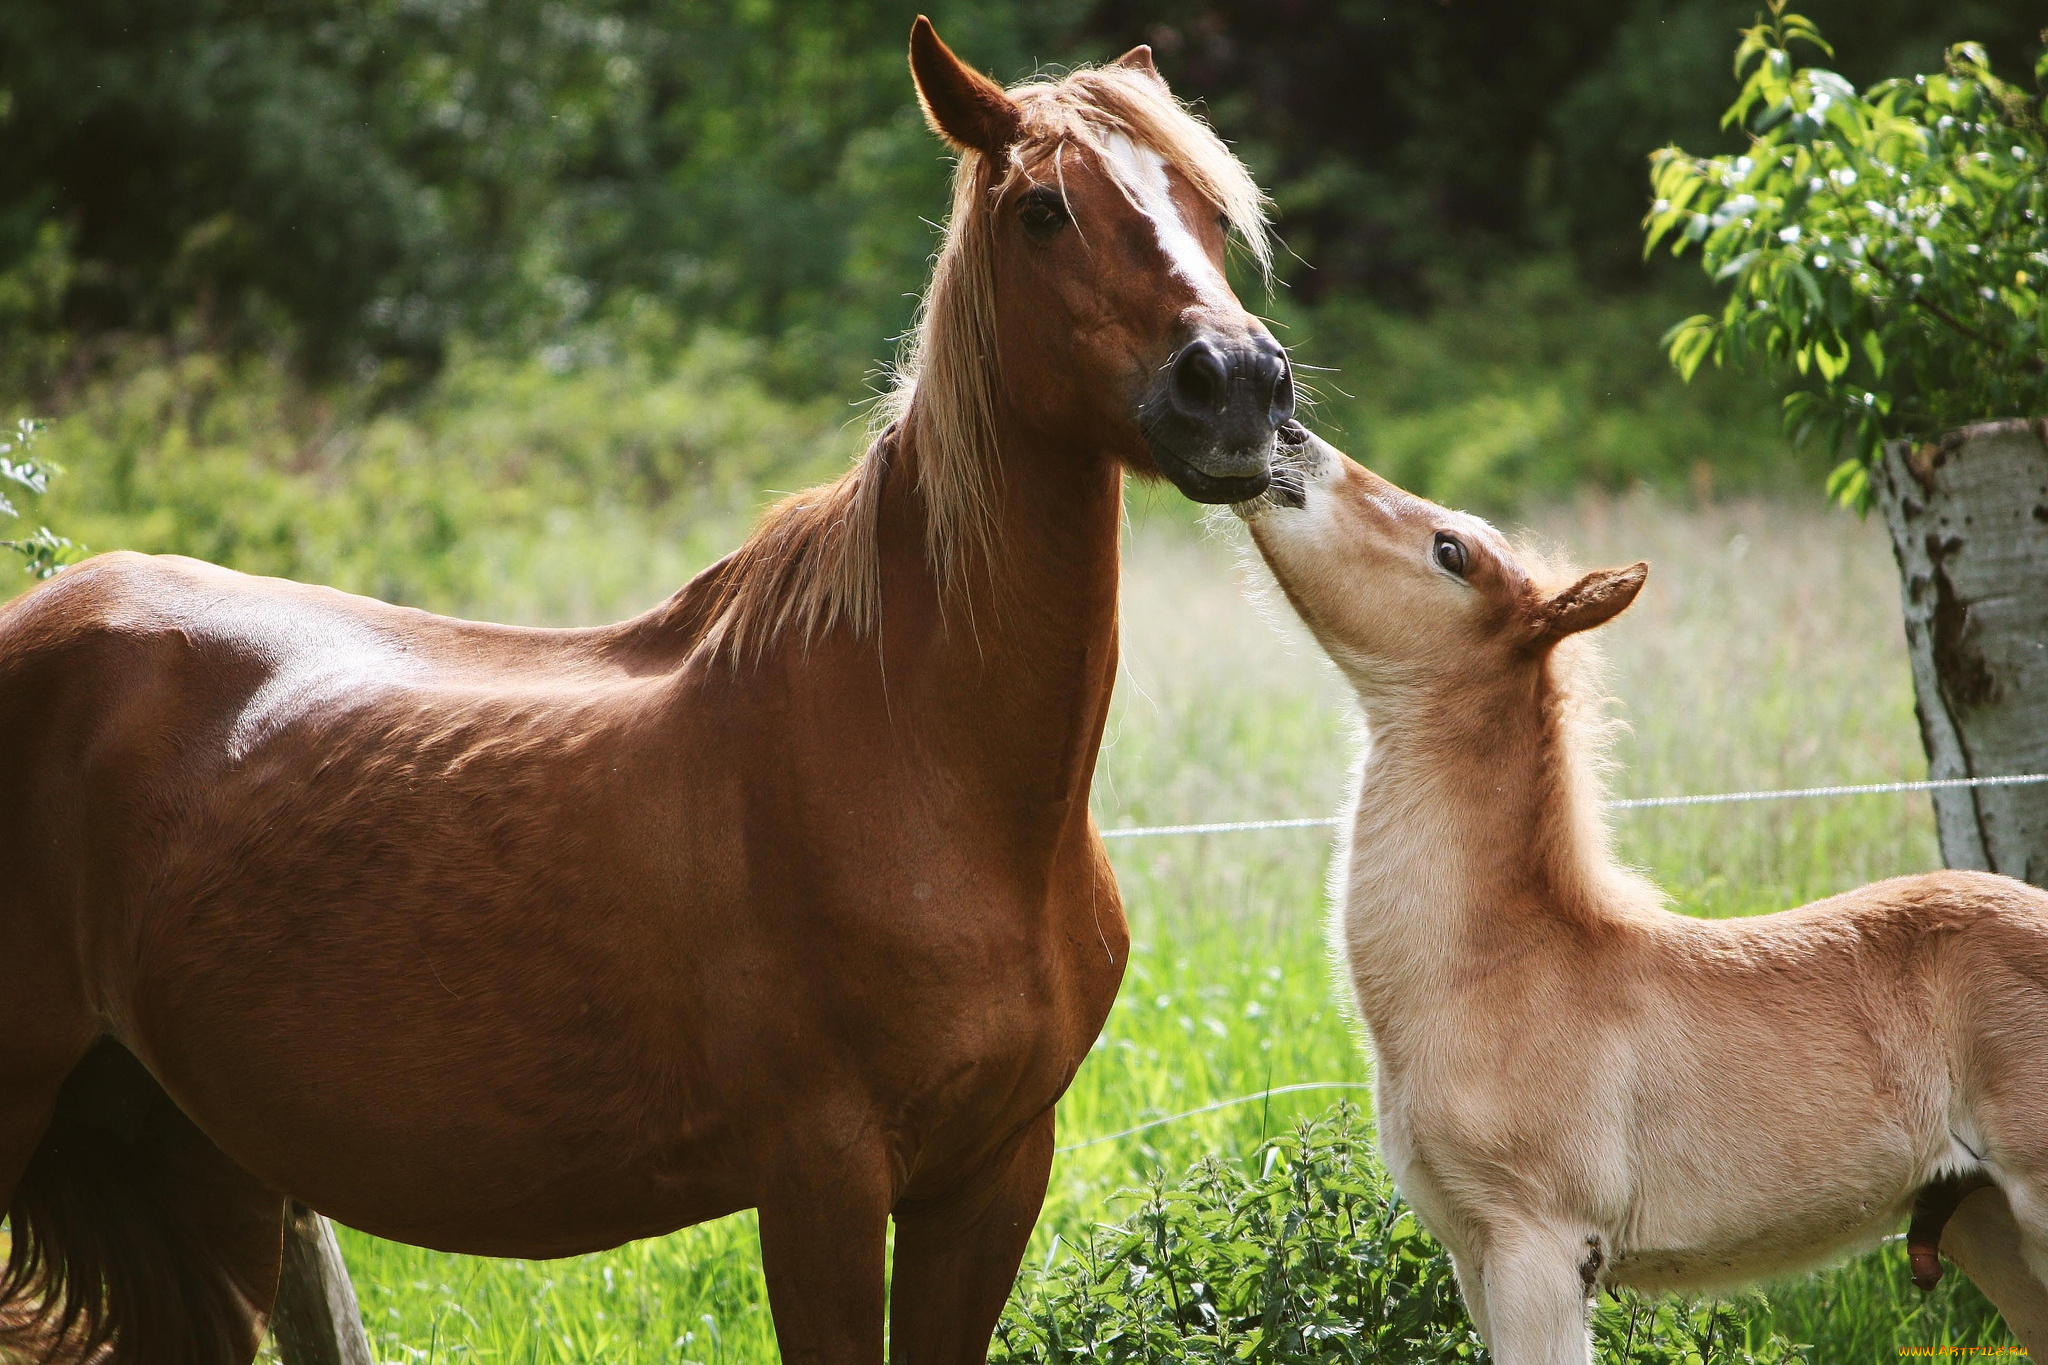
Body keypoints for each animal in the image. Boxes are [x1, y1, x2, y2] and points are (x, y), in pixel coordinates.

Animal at [0, 21, 1294, 1365]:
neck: (928, 768)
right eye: (1043, 211)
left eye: (1210, 207)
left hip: (194, 1166)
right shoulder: (821, 1180)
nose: (1236, 385)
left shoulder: (989, 1176)